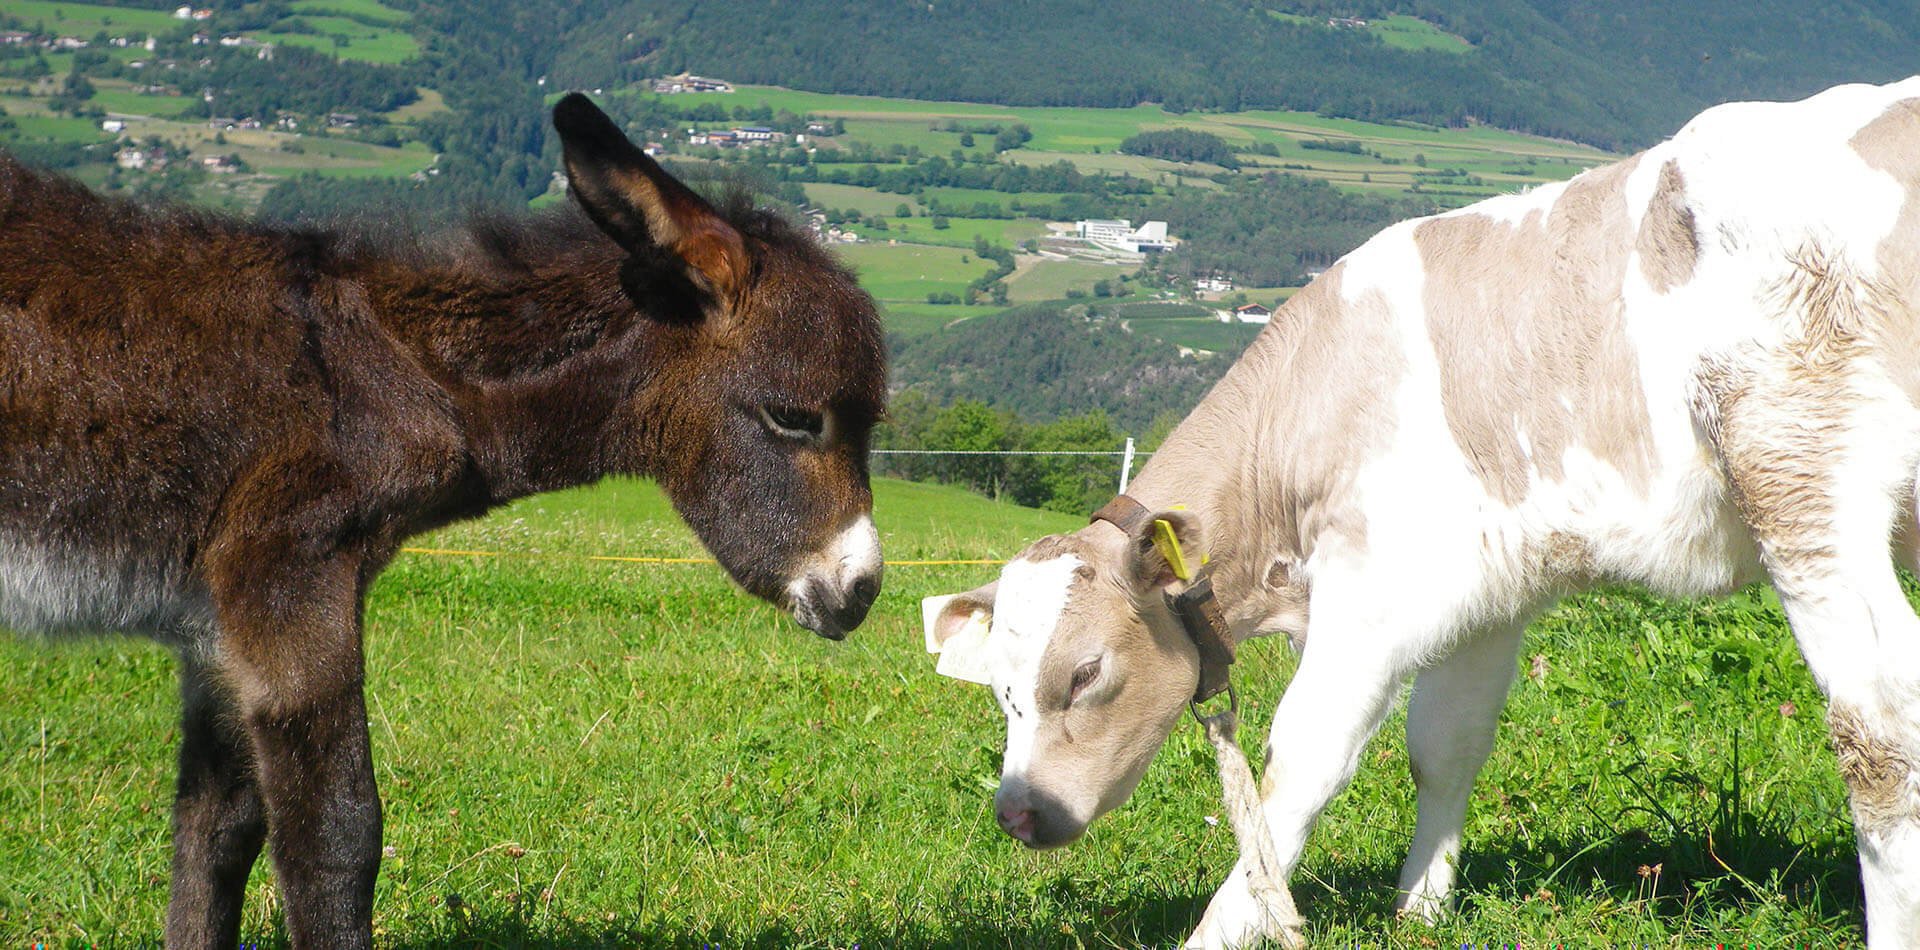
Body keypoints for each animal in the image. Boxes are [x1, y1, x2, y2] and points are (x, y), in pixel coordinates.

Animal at [925, 78, 1920, 948]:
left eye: (1086, 673)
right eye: (1001, 691)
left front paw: (1225, 927)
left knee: (1878, 726)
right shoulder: (1488, 588)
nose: (1019, 812)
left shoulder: (1377, 584)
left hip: (1798, 468)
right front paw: (1422, 910)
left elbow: (1303, 758)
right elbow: (1446, 744)